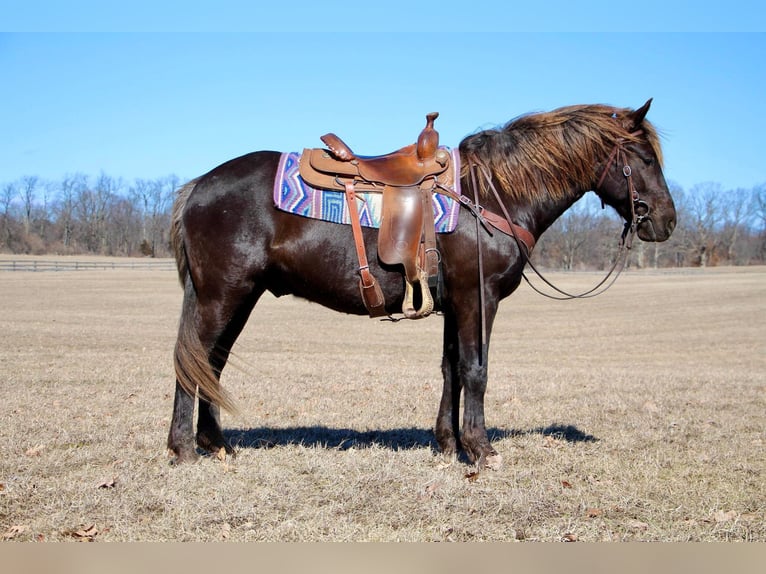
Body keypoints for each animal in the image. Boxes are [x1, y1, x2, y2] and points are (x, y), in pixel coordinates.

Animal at [166, 100, 680, 468]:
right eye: (643, 157)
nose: (667, 221)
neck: (493, 192)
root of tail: (198, 186)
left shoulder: (456, 303)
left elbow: (451, 369)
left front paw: (449, 444)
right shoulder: (479, 297)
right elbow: (476, 370)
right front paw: (481, 448)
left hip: (239, 296)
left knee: (210, 364)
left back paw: (215, 444)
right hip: (221, 295)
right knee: (193, 362)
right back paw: (184, 449)